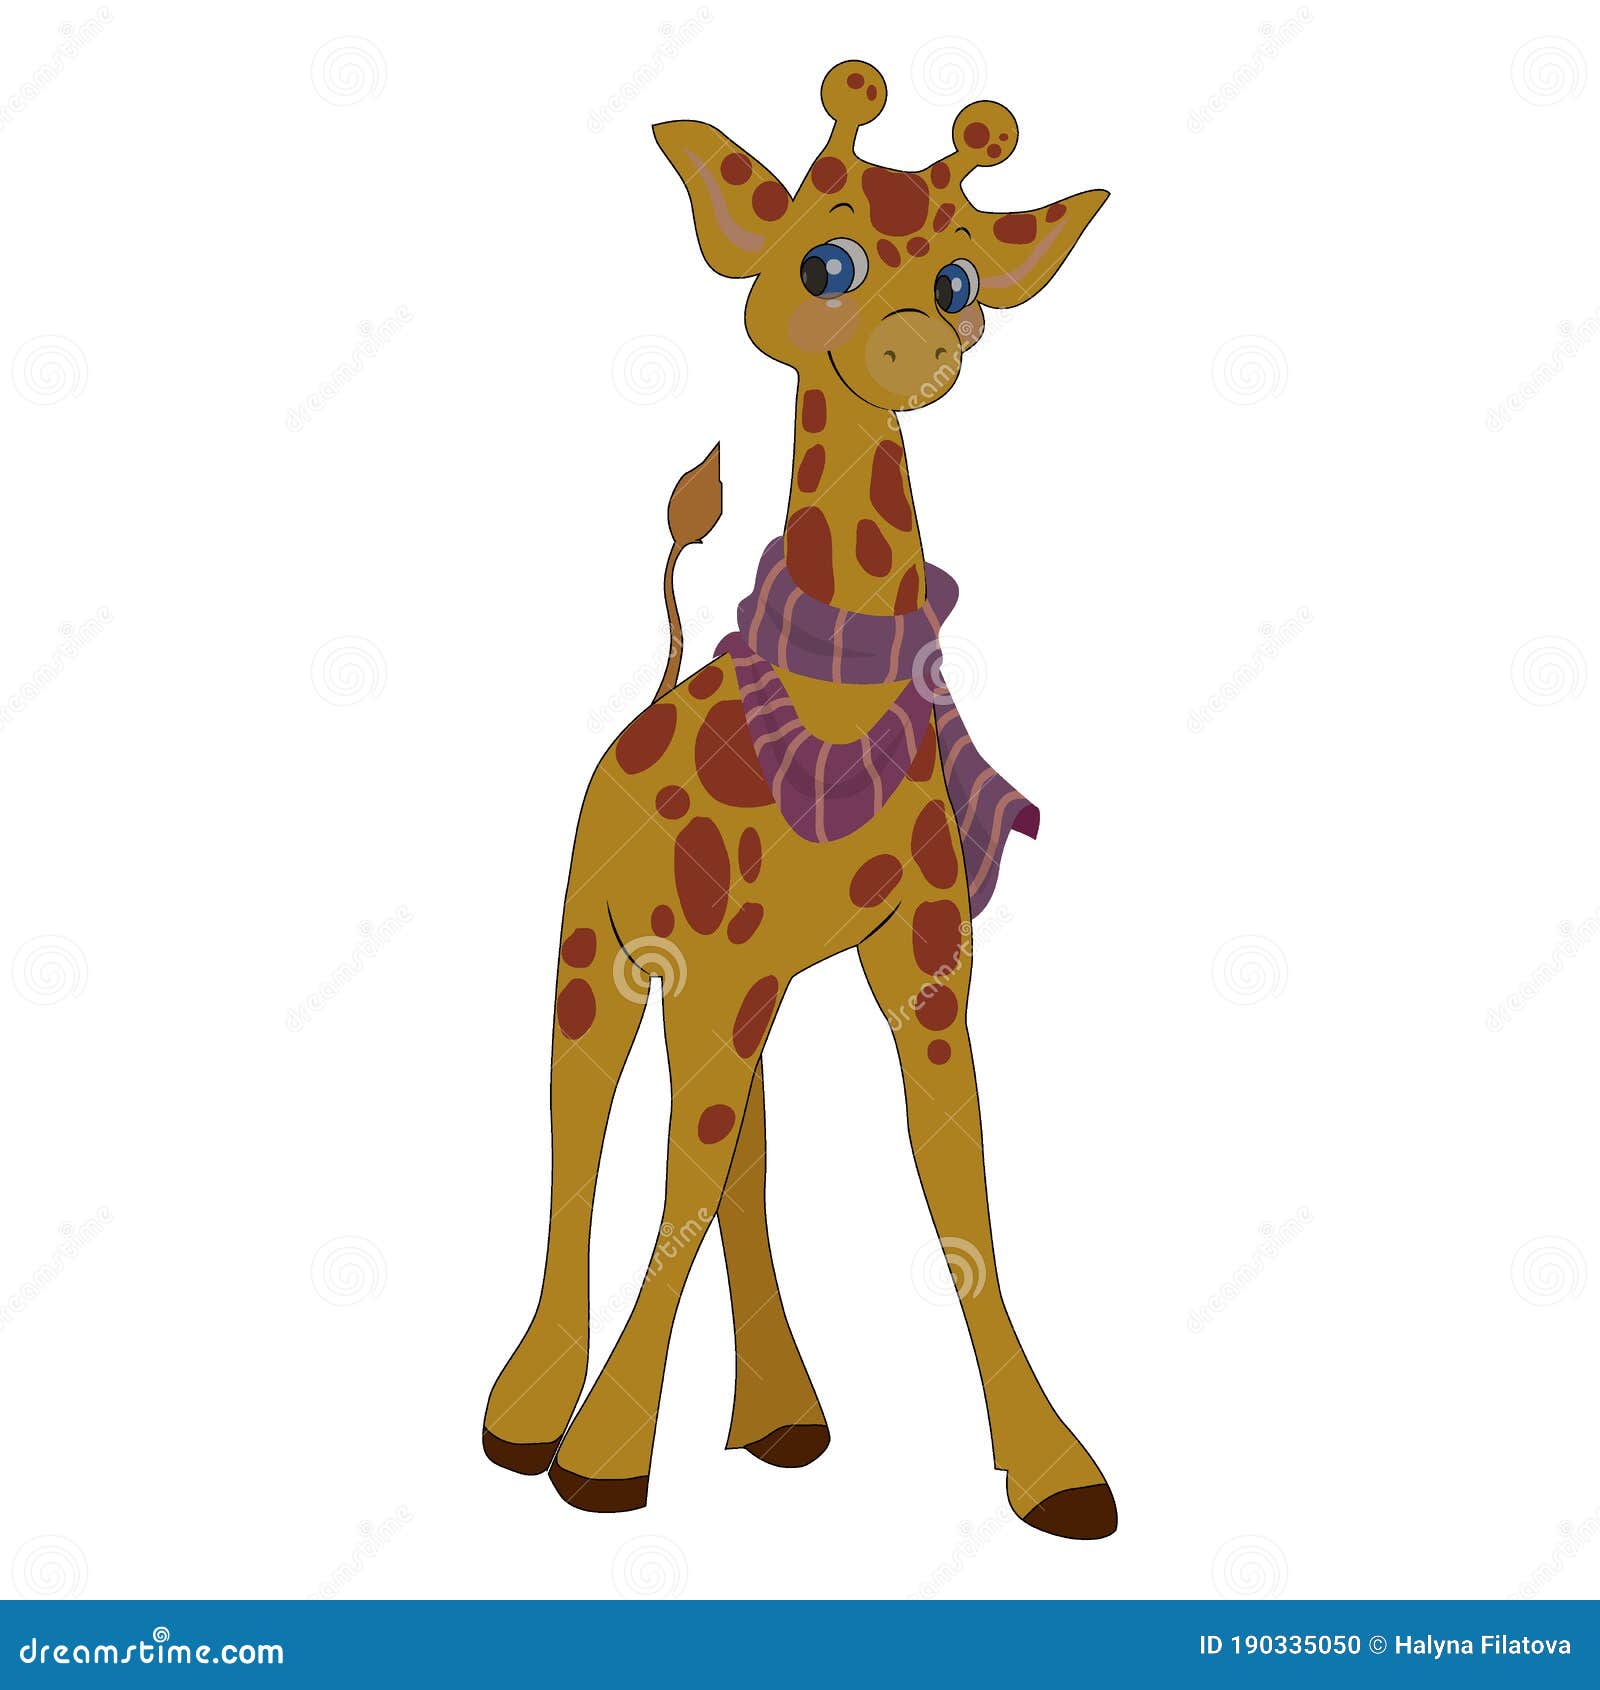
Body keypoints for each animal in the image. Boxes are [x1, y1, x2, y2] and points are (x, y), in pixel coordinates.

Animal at [482, 59, 1116, 1539]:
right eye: (821, 260)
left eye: (961, 278)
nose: (915, 345)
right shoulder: (709, 971)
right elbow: (666, 1175)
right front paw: (602, 1457)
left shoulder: (918, 968)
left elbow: (961, 1200)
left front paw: (1055, 1464)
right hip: (601, 952)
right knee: (584, 1137)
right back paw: (528, 1412)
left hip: (741, 984)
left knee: (738, 1161)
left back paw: (780, 1415)